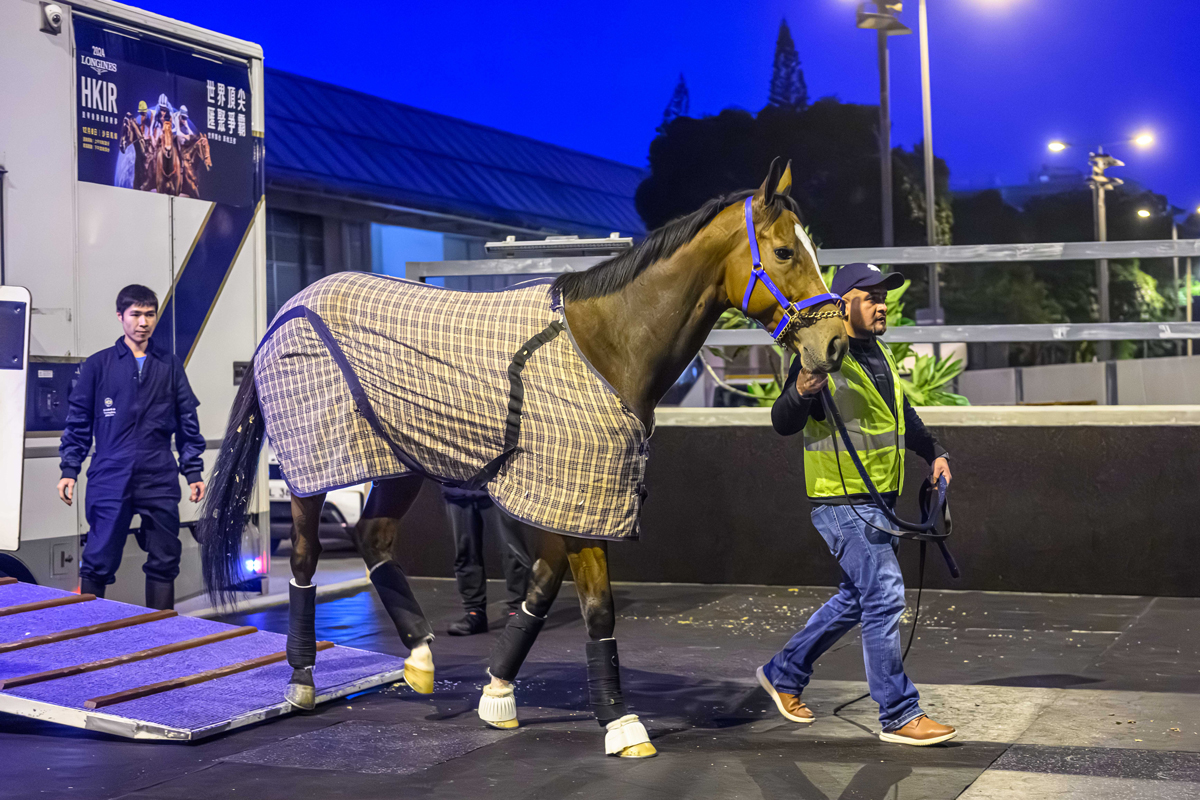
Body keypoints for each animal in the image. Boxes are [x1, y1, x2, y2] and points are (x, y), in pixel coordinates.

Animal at [196, 159, 849, 762]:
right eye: (785, 251)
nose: (835, 344)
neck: (606, 346)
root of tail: (289, 308)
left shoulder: (571, 500)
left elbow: (539, 587)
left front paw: (498, 693)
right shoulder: (581, 502)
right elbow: (597, 610)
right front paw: (621, 725)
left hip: (398, 461)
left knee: (373, 537)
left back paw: (420, 659)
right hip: (314, 466)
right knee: (305, 555)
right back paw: (302, 681)